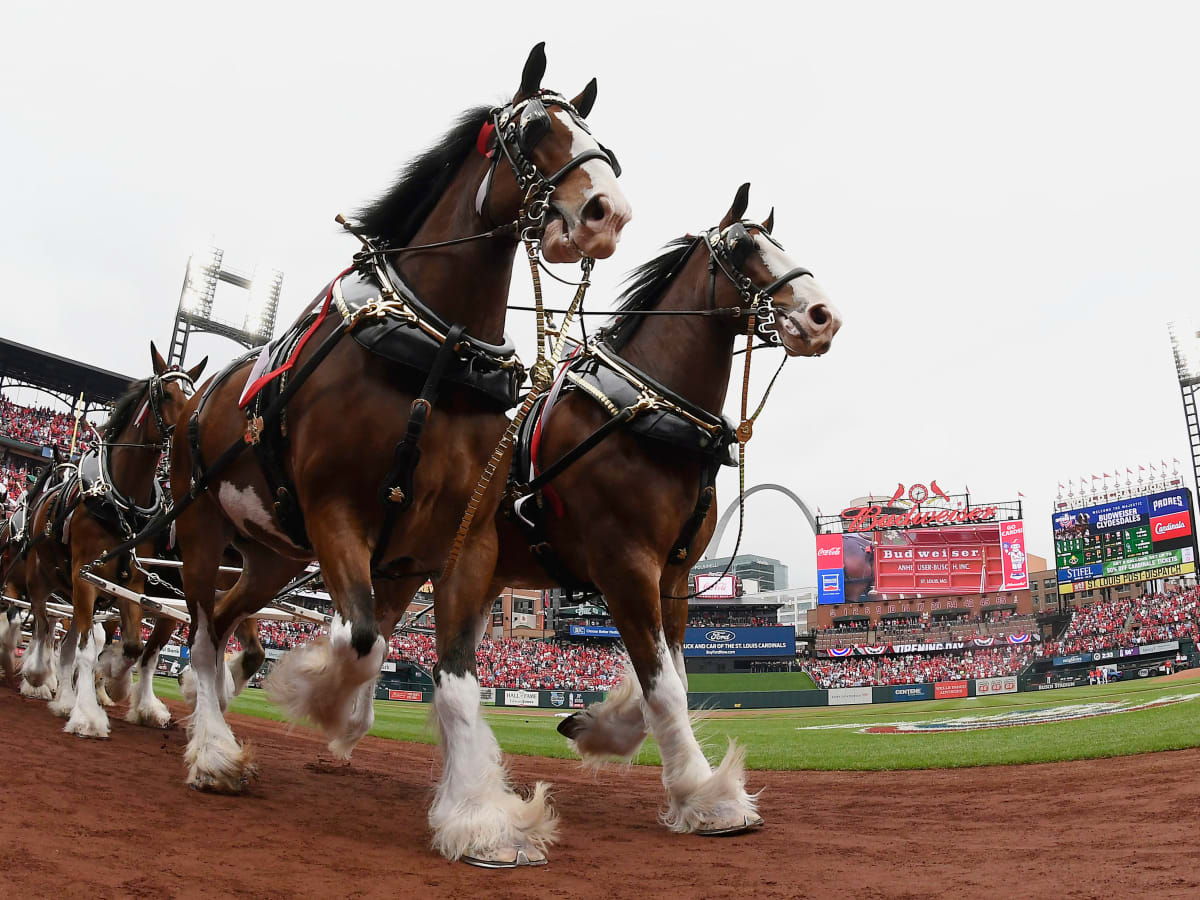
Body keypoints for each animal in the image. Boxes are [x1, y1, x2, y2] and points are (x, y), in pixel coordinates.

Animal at [170, 40, 633, 811]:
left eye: (601, 138)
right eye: (537, 126)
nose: (610, 213)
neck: (437, 353)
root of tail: (194, 395)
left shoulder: (464, 539)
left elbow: (454, 678)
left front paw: (480, 811)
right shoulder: (335, 509)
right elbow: (361, 640)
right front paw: (321, 698)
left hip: (273, 554)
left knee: (231, 619)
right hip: (202, 526)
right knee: (204, 630)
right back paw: (212, 748)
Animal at [434, 181, 844, 859]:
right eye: (745, 246)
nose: (822, 315)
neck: (646, 412)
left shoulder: (672, 578)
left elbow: (669, 676)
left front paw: (601, 725)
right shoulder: (624, 566)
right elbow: (667, 686)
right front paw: (707, 798)